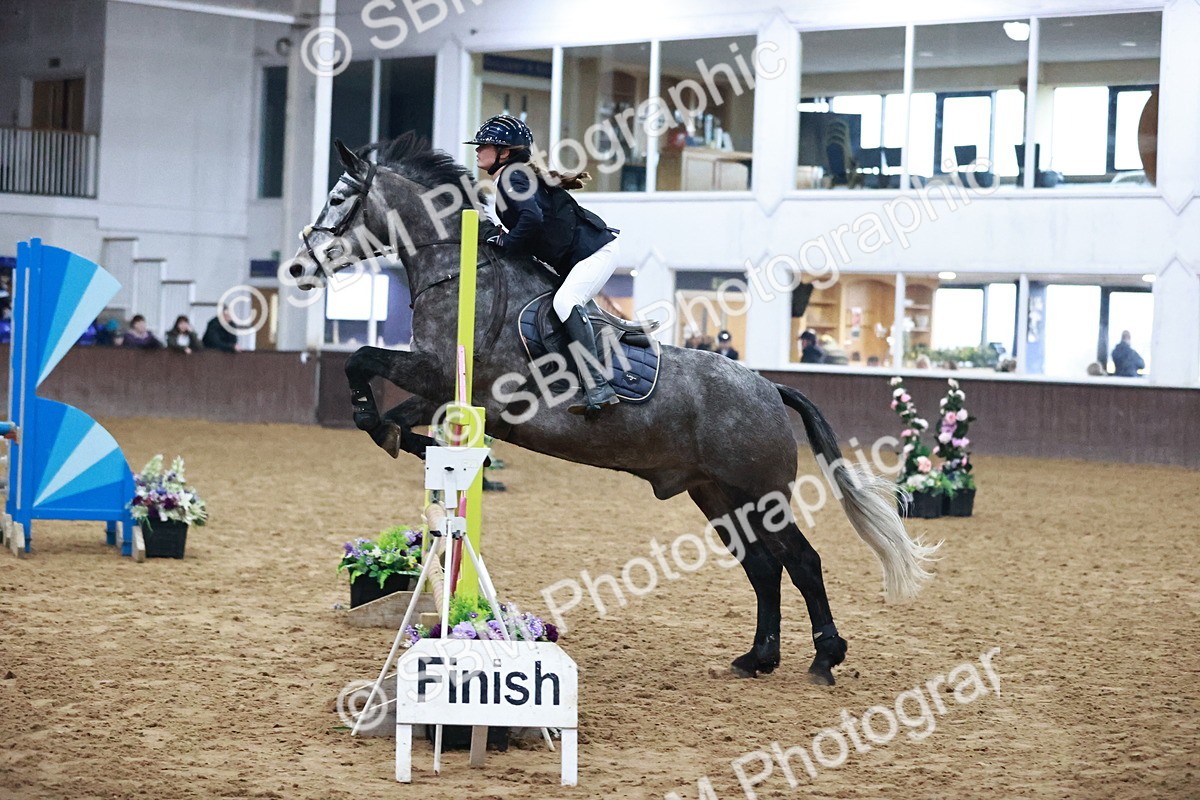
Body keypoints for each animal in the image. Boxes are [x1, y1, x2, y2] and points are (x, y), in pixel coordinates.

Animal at [288, 133, 939, 684]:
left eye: (341, 197)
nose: (298, 268)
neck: (457, 267)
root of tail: (768, 388)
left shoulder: (435, 369)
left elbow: (360, 360)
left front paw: (399, 431)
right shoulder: (440, 388)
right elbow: (391, 416)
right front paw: (410, 442)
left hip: (761, 491)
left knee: (800, 560)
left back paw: (824, 658)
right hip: (717, 493)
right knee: (761, 565)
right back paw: (758, 657)